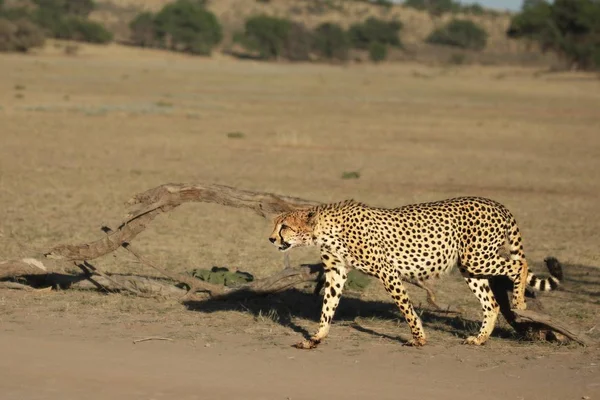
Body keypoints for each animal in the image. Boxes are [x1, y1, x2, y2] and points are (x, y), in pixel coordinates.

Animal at [270, 198, 564, 348]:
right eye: (276, 225)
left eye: (284, 227)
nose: (271, 239)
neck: (324, 229)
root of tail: (494, 202)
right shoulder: (336, 272)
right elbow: (327, 307)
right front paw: (316, 337)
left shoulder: (387, 271)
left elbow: (406, 307)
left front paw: (419, 338)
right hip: (470, 266)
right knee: (490, 303)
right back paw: (480, 338)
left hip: (477, 258)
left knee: (518, 265)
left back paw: (520, 301)